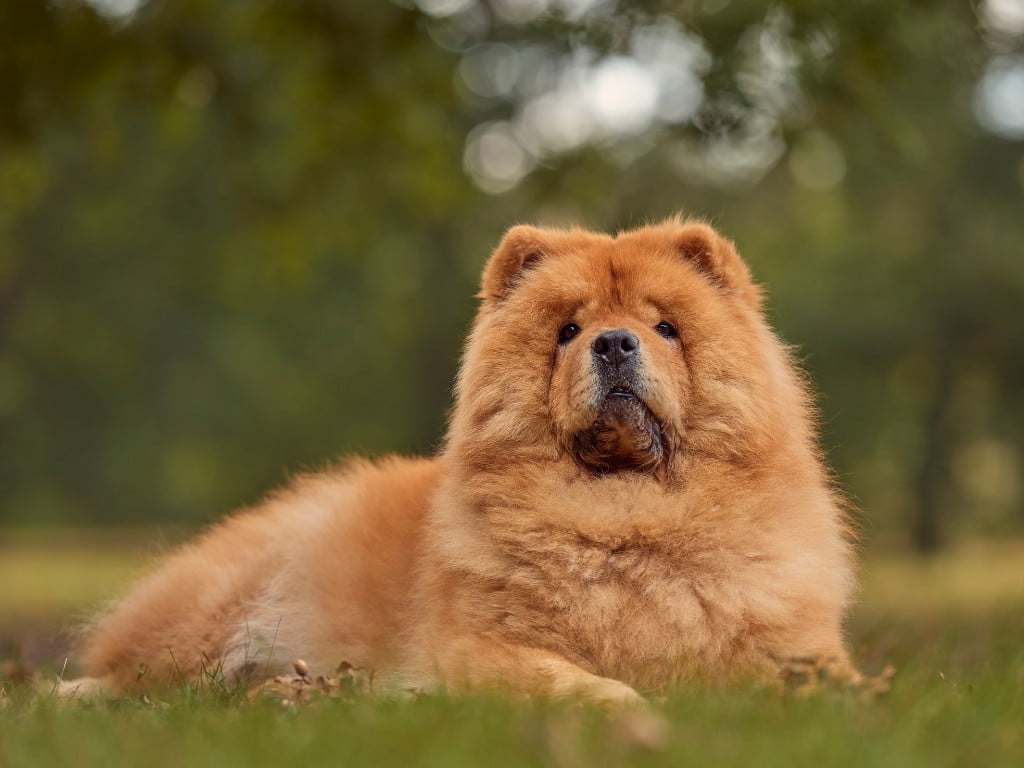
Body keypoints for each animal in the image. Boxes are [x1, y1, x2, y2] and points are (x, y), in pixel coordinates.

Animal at [64, 219, 860, 708]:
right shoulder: (481, 649)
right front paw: (631, 706)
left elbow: (830, 680)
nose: (612, 343)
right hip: (212, 612)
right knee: (140, 675)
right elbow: (573, 681)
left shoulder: (795, 642)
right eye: (568, 330)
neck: (627, 516)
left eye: (665, 327)